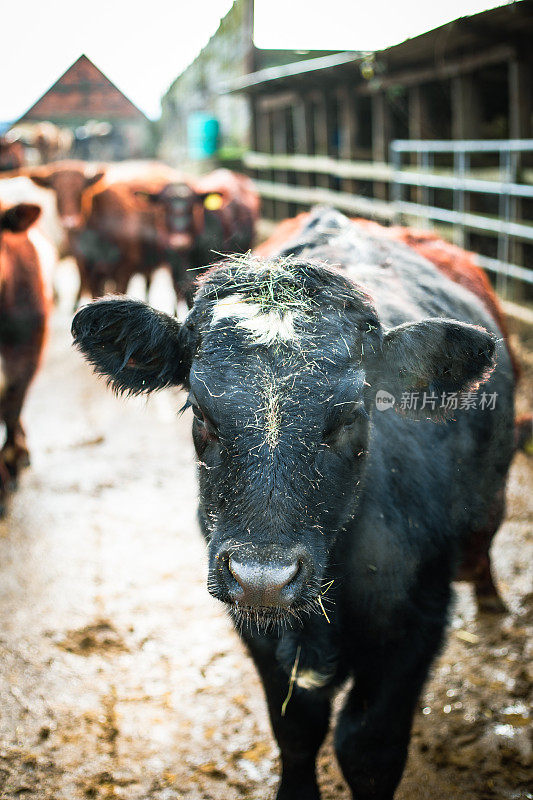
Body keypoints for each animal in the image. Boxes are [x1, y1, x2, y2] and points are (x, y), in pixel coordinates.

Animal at [71, 208, 516, 800]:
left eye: (351, 414)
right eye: (200, 412)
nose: (263, 577)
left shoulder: (416, 618)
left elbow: (368, 749)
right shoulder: (257, 630)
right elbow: (297, 729)